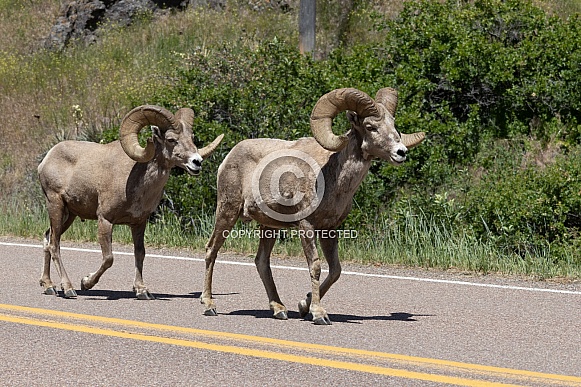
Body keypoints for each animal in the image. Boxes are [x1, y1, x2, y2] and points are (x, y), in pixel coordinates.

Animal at [38, 105, 223, 300]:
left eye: (191, 138)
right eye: (171, 139)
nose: (197, 162)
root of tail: (46, 161)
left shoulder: (139, 224)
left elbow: (140, 253)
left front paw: (142, 291)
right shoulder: (105, 220)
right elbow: (109, 258)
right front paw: (86, 282)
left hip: (69, 215)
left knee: (48, 238)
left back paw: (49, 286)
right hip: (56, 205)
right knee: (54, 244)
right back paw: (68, 288)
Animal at [202, 87, 424, 324]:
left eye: (393, 124)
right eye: (370, 126)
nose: (401, 152)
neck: (333, 179)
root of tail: (229, 157)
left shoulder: (329, 229)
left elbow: (335, 270)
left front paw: (303, 305)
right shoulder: (306, 226)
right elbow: (315, 266)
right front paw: (319, 314)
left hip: (269, 227)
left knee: (261, 261)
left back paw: (279, 309)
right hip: (228, 211)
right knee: (211, 250)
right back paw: (209, 305)